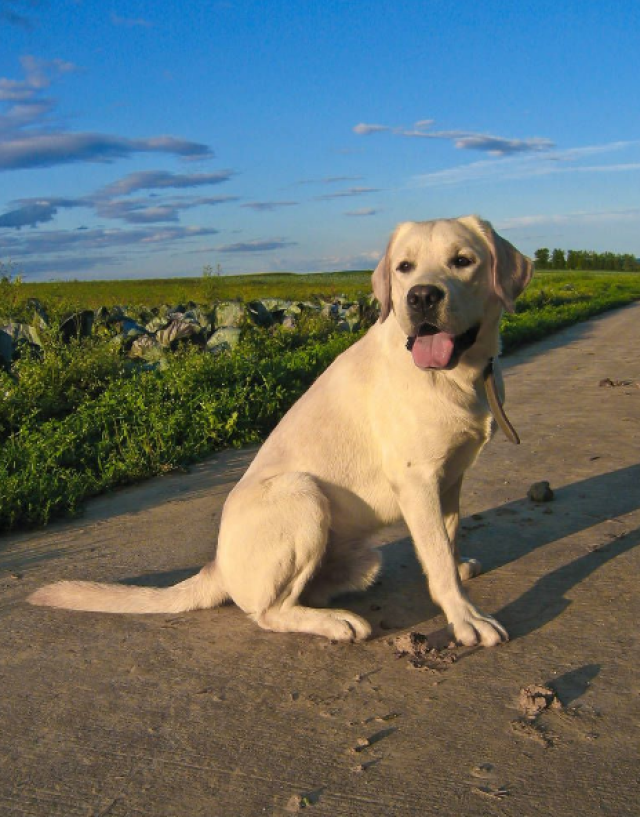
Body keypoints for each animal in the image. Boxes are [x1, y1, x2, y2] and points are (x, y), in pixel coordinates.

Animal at [28, 215, 528, 644]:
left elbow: (448, 538)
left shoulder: (449, 479)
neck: (460, 375)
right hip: (303, 493)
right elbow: (438, 557)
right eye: (404, 267)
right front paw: (465, 617)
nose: (421, 297)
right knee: (267, 612)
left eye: (462, 261)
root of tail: (216, 566)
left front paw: (458, 570)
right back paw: (336, 623)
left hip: (363, 555)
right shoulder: (417, 480)